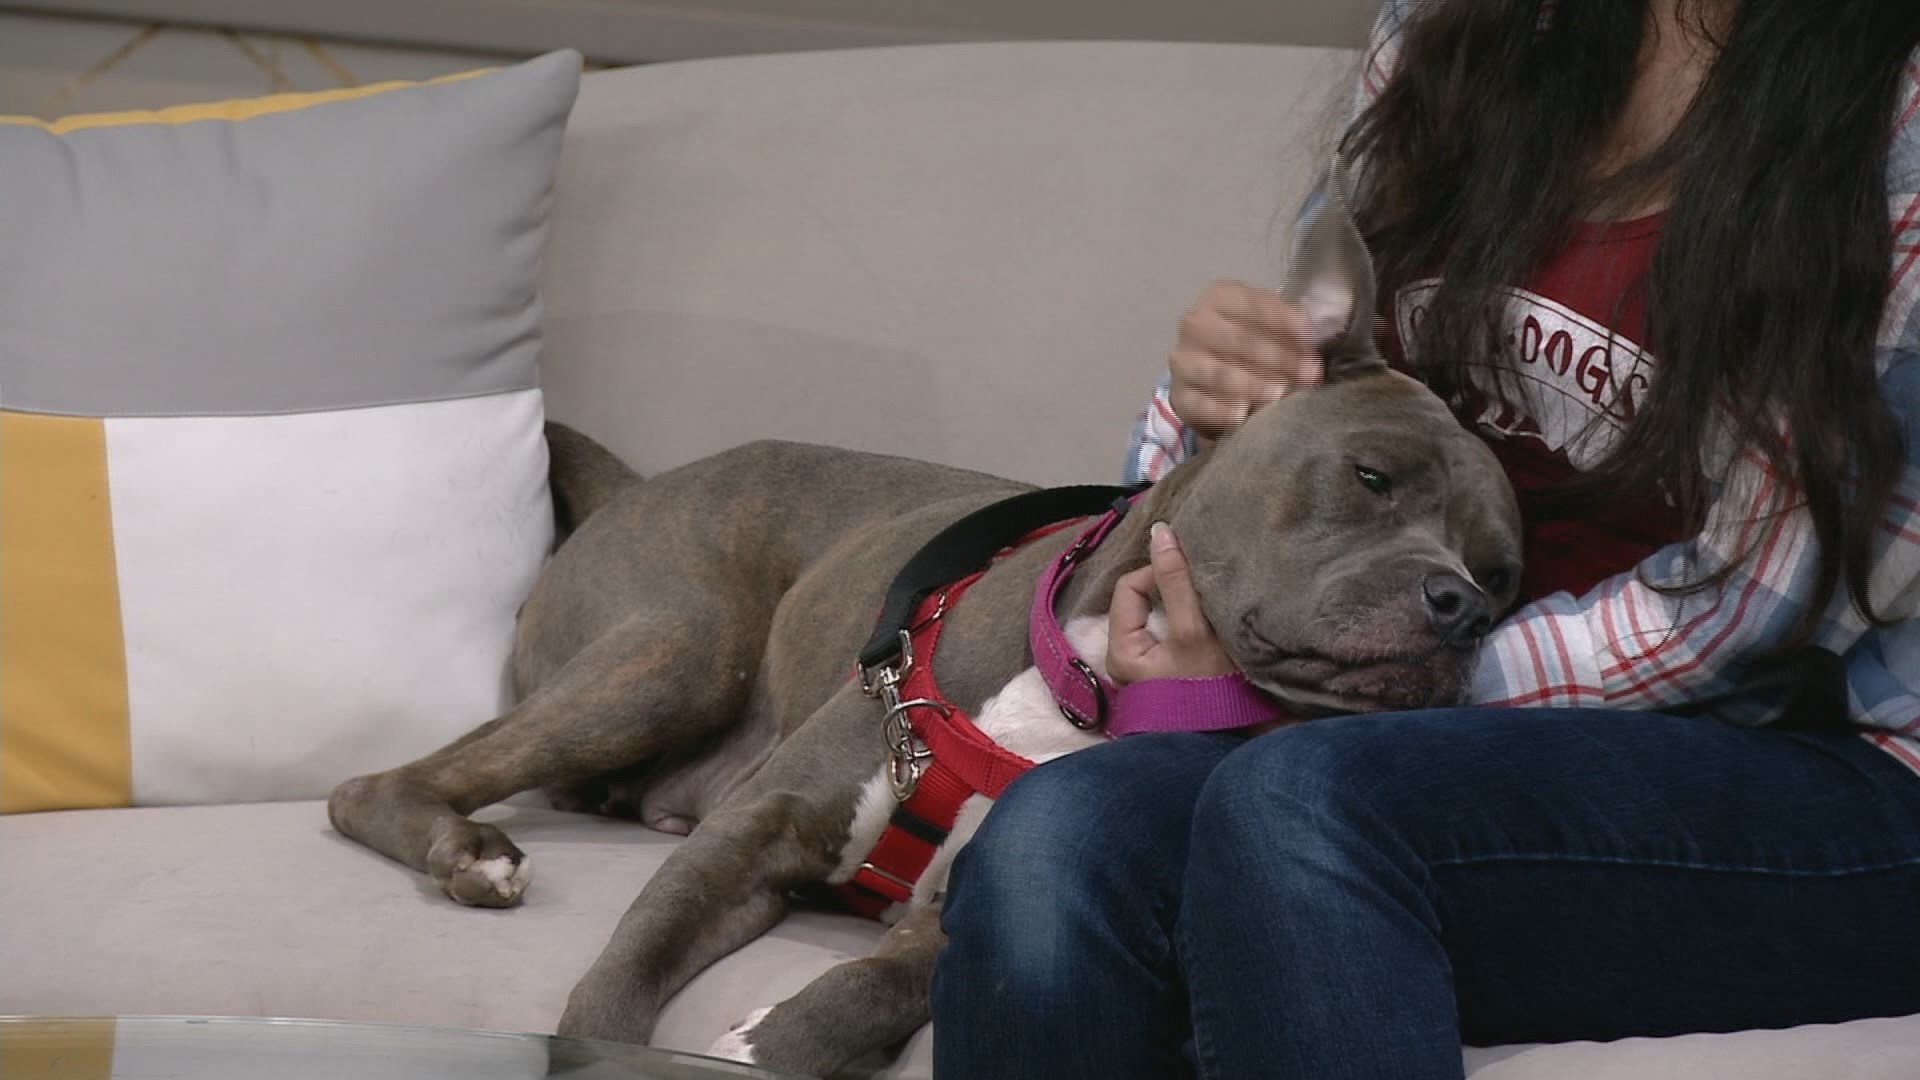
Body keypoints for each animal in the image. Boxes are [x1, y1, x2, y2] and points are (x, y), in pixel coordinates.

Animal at [334, 180, 1528, 1068]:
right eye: (1372, 476)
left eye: (1505, 577)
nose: (1460, 606)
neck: (1081, 692)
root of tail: (640, 483)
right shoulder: (751, 830)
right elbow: (620, 978)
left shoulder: (954, 919)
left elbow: (856, 995)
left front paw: (764, 1041)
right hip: (675, 656)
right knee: (378, 786)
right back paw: (468, 852)